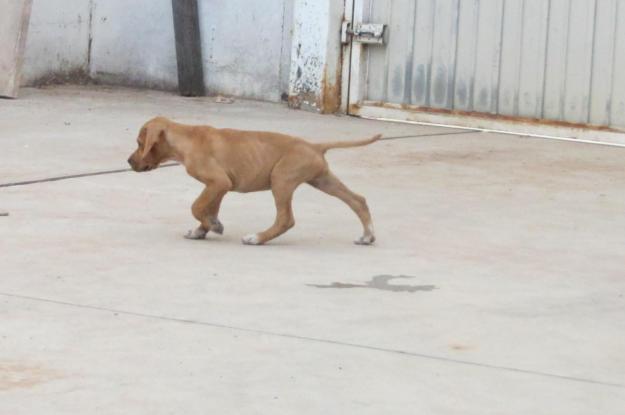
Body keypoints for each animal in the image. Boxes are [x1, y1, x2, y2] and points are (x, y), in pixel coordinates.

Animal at [129, 117, 378, 245]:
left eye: (140, 143)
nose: (129, 162)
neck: (186, 138)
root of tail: (315, 146)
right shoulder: (219, 186)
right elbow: (209, 208)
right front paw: (203, 229)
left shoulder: (218, 182)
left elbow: (197, 206)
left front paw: (213, 226)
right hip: (322, 180)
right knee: (358, 200)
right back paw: (368, 235)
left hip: (281, 180)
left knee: (286, 219)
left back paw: (257, 238)